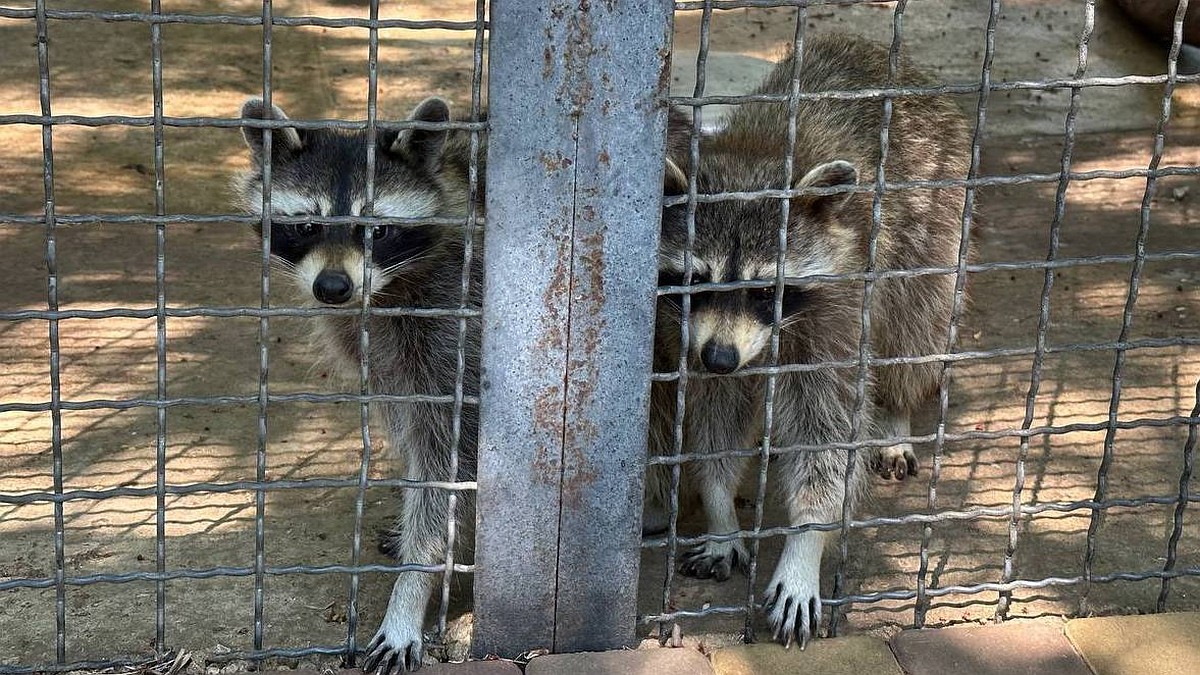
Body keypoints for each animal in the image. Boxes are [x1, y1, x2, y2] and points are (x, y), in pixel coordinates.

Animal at [234, 97, 482, 667]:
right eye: (306, 226)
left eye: (378, 230)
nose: (333, 287)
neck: (386, 291)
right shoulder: (377, 347)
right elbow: (411, 431)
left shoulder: (460, 322)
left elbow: (450, 457)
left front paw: (414, 585)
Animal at [652, 32, 969, 648]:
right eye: (697, 281)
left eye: (763, 290)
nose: (720, 357)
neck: (754, 159)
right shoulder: (688, 337)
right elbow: (716, 414)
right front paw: (721, 509)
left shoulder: (839, 311)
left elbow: (830, 433)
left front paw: (805, 543)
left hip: (935, 222)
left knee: (914, 330)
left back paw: (896, 415)